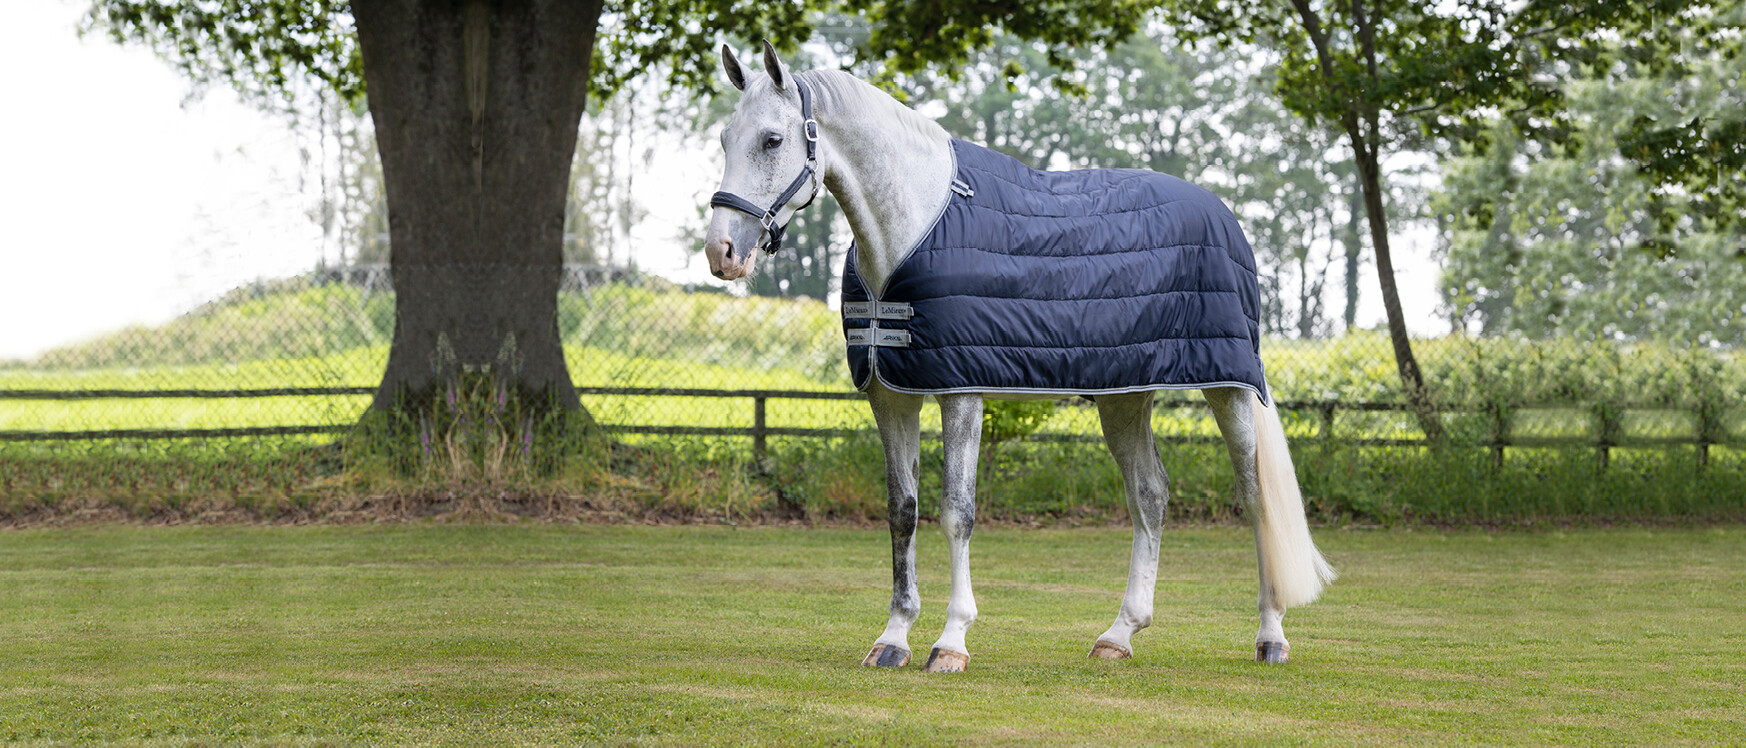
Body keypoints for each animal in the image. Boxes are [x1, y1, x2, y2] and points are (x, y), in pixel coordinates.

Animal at [702, 42, 1335, 674]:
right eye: (725, 138)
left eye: (772, 140)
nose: (722, 252)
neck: (917, 221)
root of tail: (1223, 213)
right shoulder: (891, 396)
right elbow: (902, 509)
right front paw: (893, 637)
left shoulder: (960, 391)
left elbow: (957, 512)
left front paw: (951, 641)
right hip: (1125, 394)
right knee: (1150, 495)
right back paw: (1119, 634)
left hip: (1229, 387)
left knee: (1255, 497)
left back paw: (1271, 634)